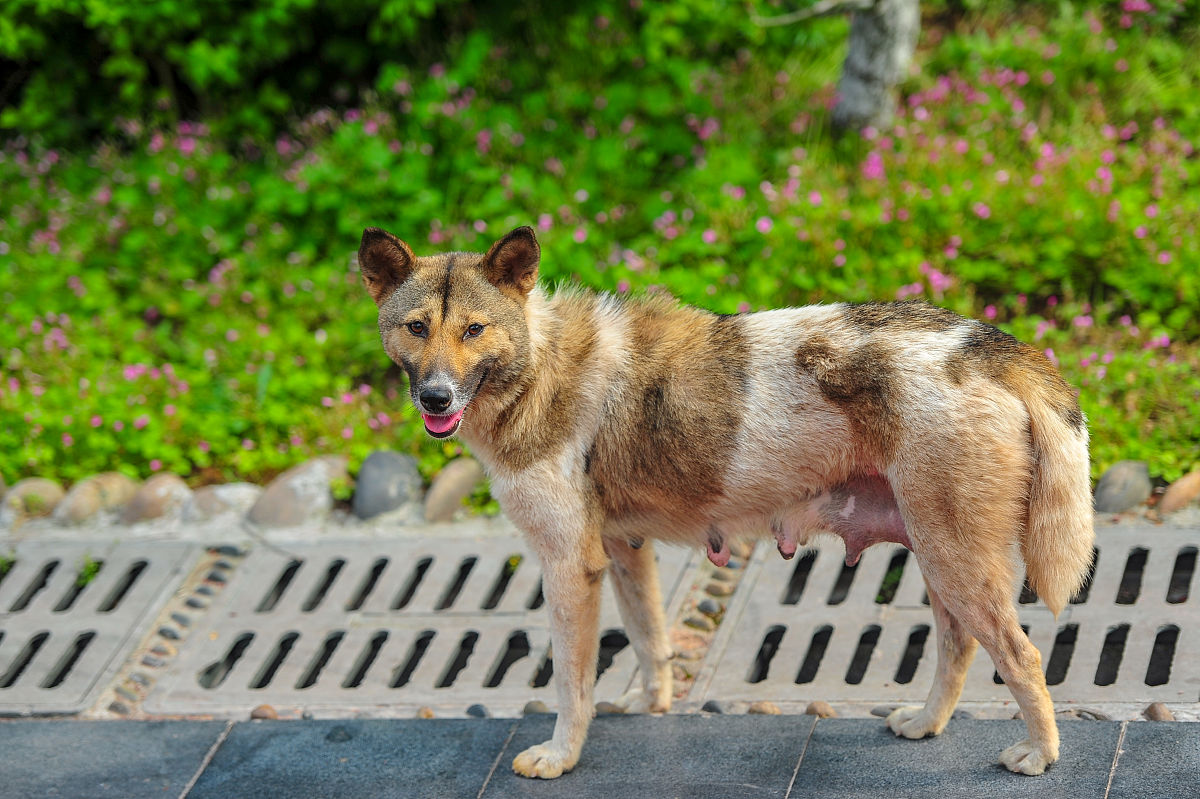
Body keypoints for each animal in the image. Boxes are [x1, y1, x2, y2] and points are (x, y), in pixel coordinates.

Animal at [355, 224, 1099, 777]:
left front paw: (561, 755)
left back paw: (1040, 755)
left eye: (474, 330)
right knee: (959, 648)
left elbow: (572, 680)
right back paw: (925, 724)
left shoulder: (569, 566)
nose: (436, 398)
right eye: (416, 327)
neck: (540, 364)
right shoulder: (623, 551)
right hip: (939, 558)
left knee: (1023, 656)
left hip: (955, 561)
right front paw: (650, 704)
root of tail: (987, 345)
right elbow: (651, 640)